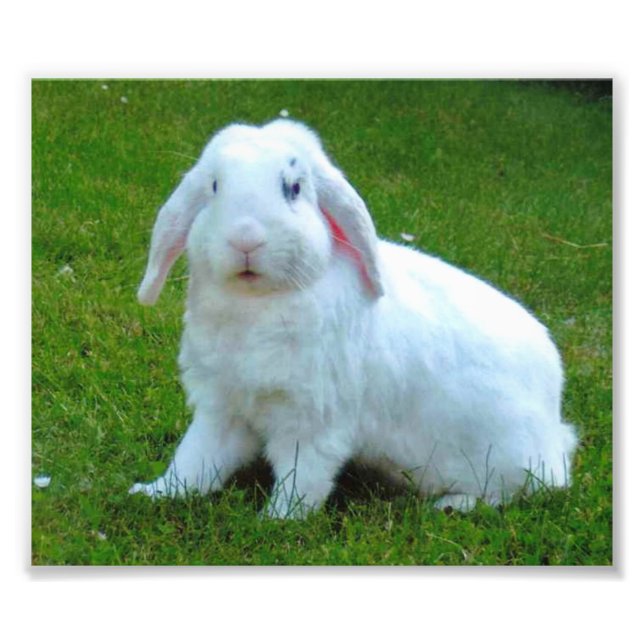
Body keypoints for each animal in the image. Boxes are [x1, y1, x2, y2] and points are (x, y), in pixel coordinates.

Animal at [129, 118, 577, 517]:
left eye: (294, 188)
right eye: (214, 186)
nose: (245, 239)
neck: (257, 303)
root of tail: (555, 431)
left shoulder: (313, 422)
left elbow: (302, 479)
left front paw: (276, 521)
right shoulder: (222, 409)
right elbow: (196, 460)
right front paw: (154, 493)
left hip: (505, 460)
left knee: (517, 491)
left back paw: (454, 505)